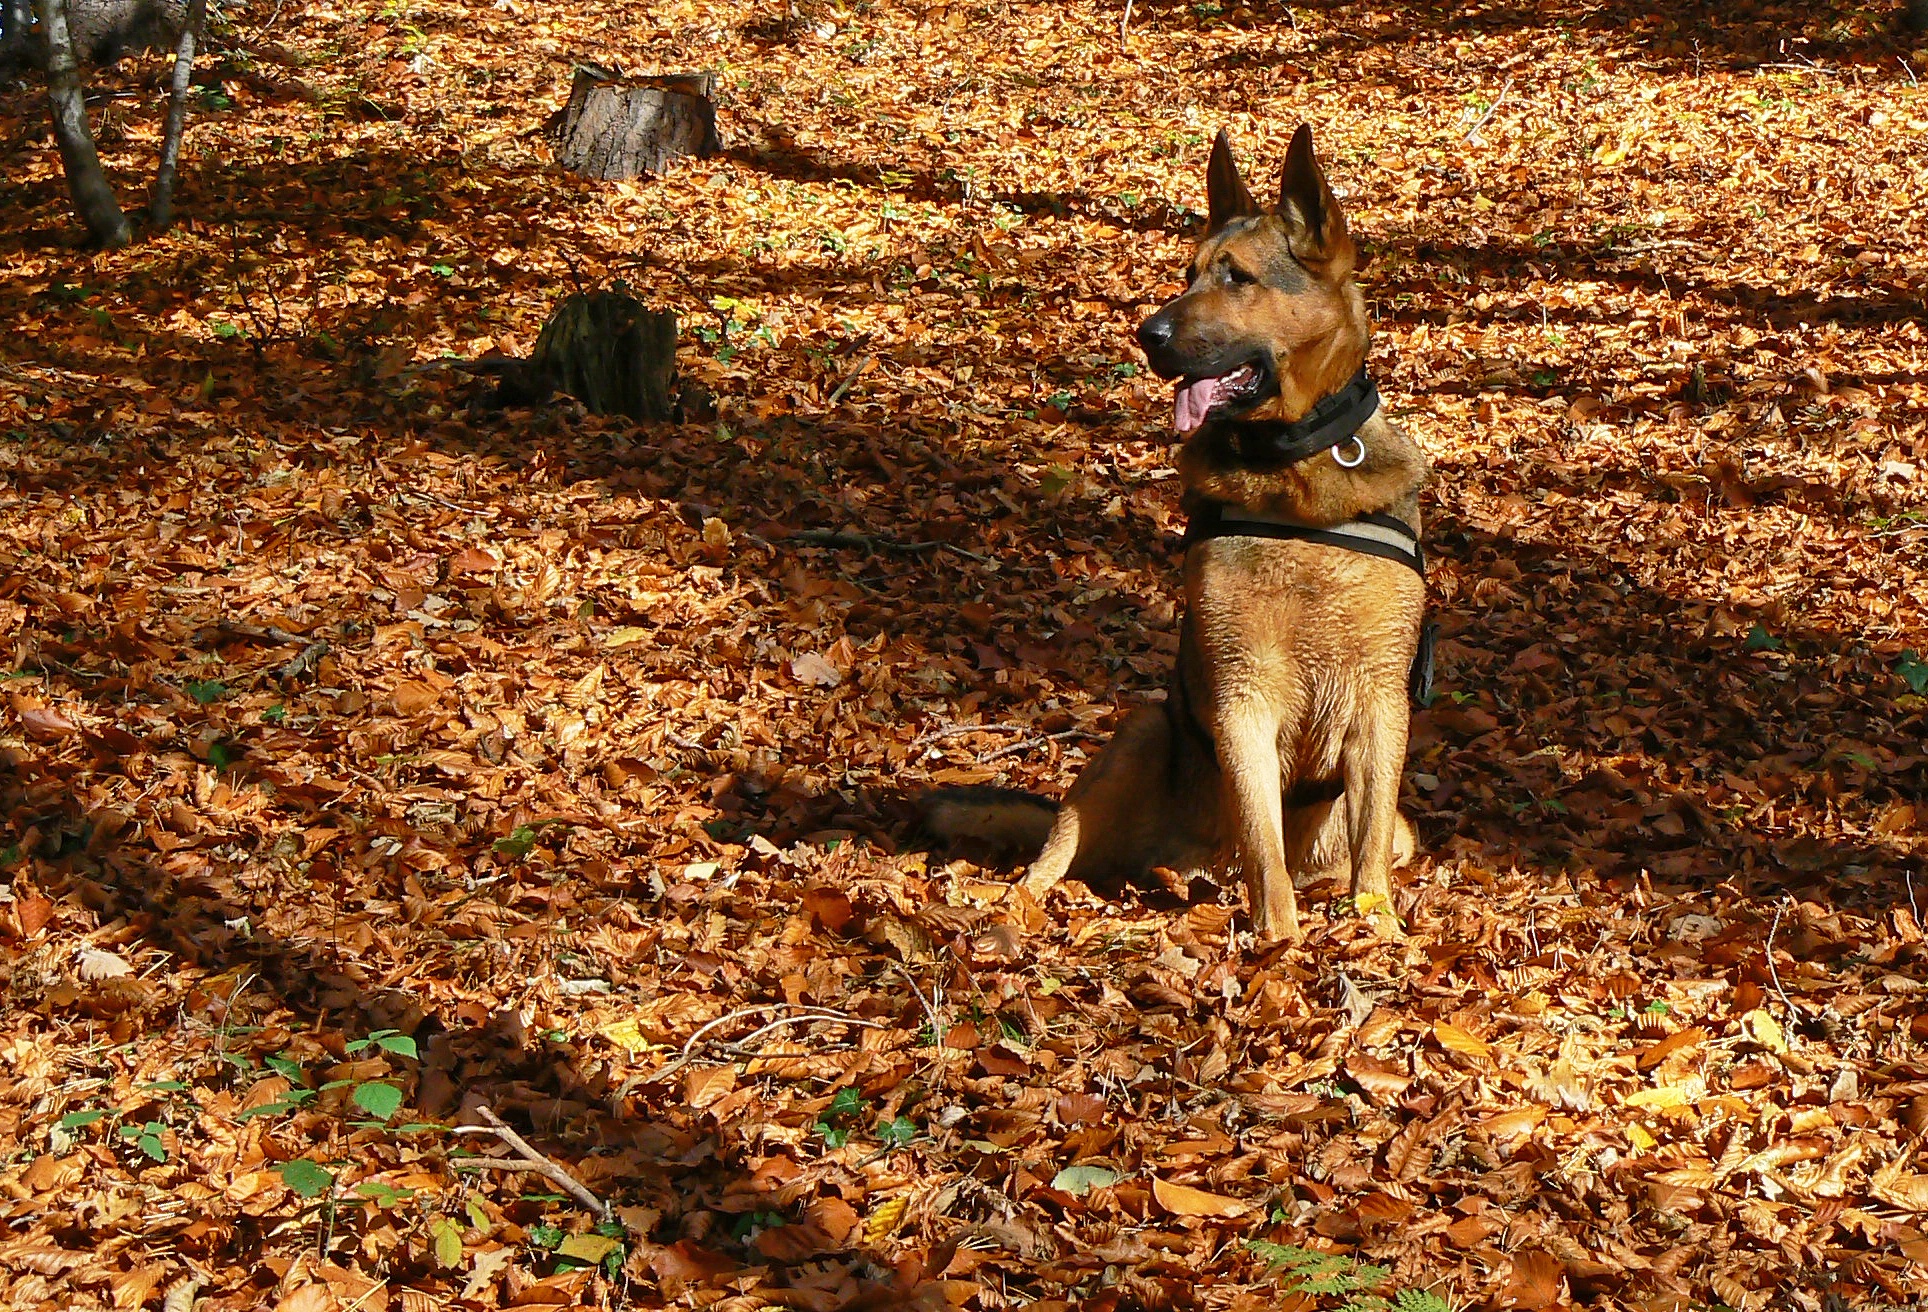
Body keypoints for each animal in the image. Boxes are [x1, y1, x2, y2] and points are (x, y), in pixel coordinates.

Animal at [933, 125, 1434, 941]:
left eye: (1237, 278)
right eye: (1188, 273)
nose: (1148, 333)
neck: (1294, 468)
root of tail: (1183, 866)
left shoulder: (1381, 706)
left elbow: (1363, 860)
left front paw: (1376, 935)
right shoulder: (1242, 699)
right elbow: (1262, 843)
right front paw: (1281, 944)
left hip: (1401, 829)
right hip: (1138, 732)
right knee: (1055, 852)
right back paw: (1017, 906)